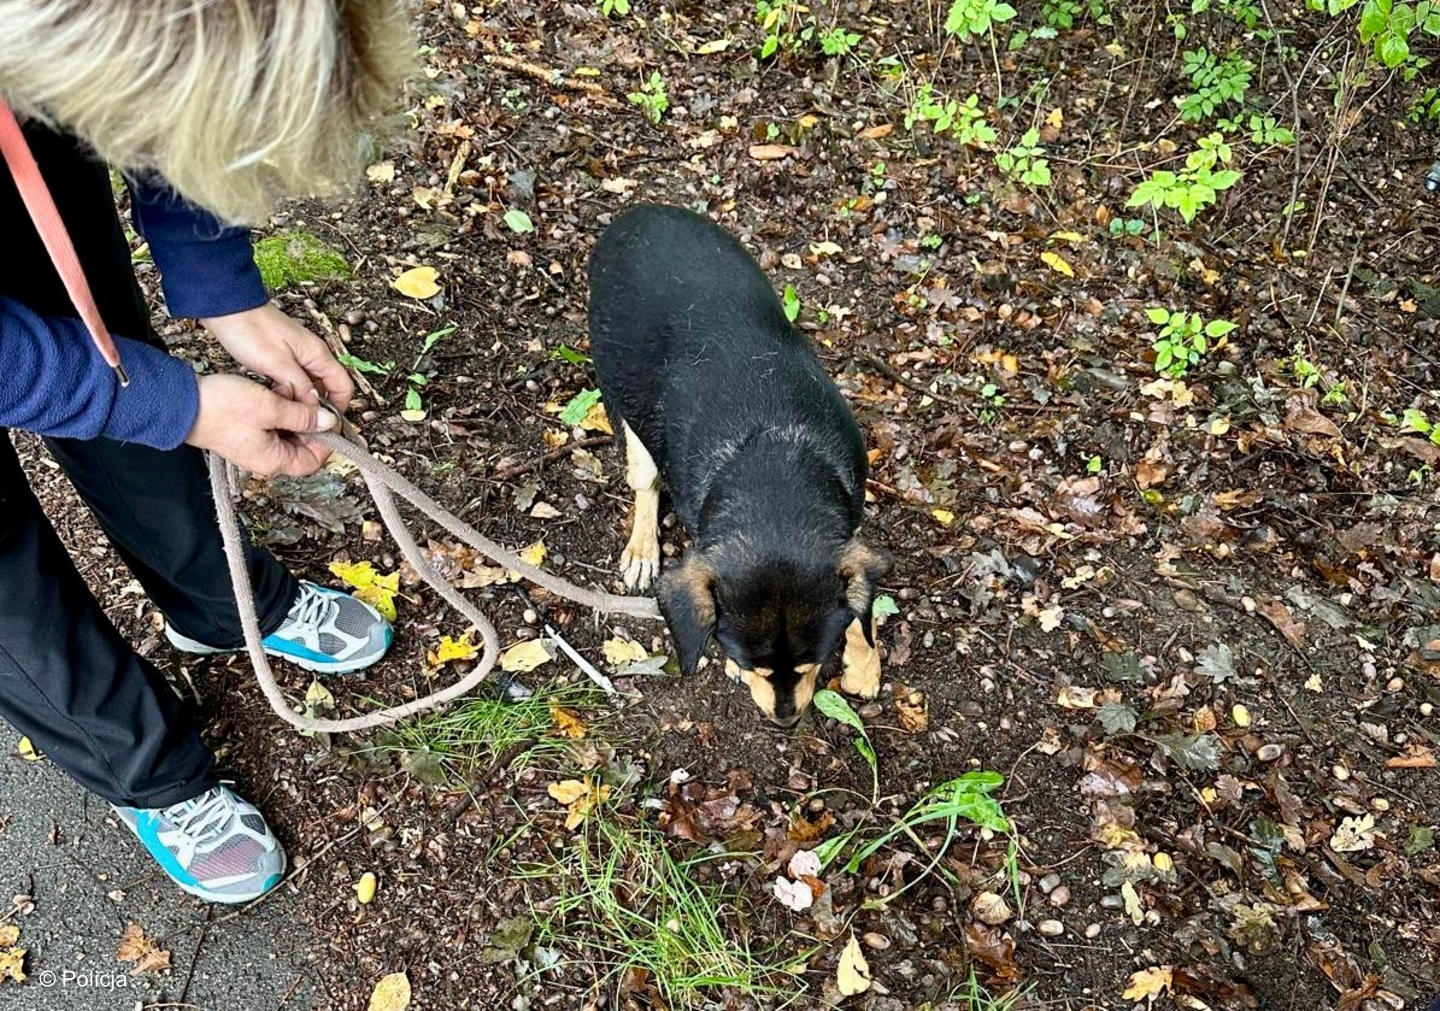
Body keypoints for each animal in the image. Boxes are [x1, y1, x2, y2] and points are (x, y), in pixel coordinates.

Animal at [587, 205, 887, 728]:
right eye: (752, 664)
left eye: (813, 661)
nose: (786, 721)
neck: (775, 475)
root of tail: (637, 213)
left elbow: (859, 610)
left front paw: (864, 662)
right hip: (624, 402)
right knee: (644, 478)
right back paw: (643, 548)